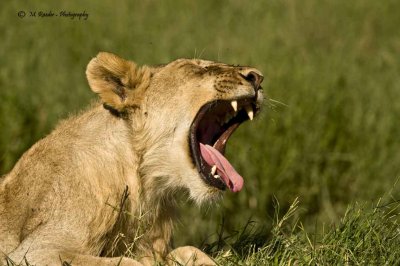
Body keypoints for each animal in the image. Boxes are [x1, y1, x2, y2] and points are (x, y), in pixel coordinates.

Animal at [0, 52, 264, 266]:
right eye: (199, 68)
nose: (258, 77)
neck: (142, 181)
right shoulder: (32, 251)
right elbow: (125, 262)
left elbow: (190, 250)